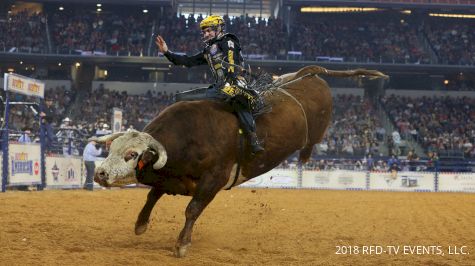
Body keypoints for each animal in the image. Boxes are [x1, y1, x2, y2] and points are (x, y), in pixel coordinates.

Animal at [91, 65, 388, 256]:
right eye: (112, 148)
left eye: (131, 154)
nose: (100, 174)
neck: (191, 135)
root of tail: (311, 74)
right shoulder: (171, 178)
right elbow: (152, 195)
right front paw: (140, 224)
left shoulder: (214, 179)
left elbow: (192, 209)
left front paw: (182, 245)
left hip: (319, 127)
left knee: (313, 140)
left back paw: (304, 156)